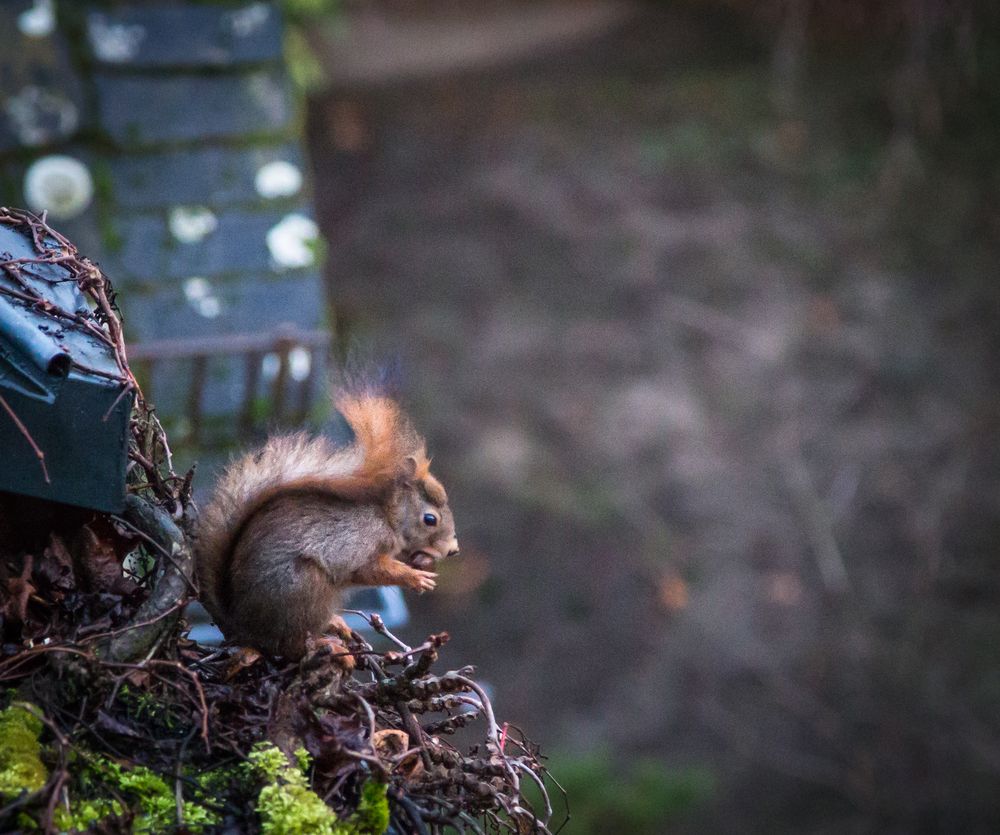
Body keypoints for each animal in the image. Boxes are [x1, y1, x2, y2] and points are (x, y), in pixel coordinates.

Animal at [193, 392, 458, 660]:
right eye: (430, 519)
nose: (453, 550)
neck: (387, 517)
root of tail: (241, 627)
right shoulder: (358, 543)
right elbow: (368, 569)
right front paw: (416, 577)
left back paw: (335, 624)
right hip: (305, 589)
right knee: (288, 646)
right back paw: (328, 646)